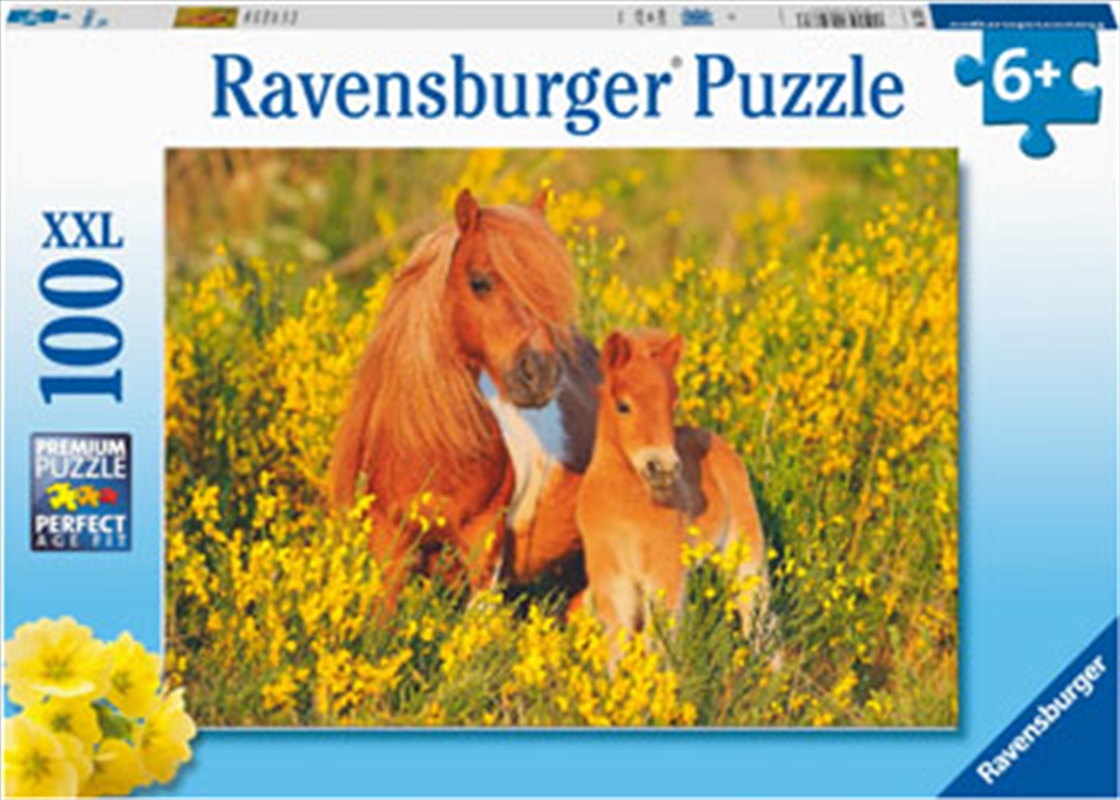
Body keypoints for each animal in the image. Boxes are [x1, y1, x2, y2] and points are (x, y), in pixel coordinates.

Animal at [576, 330, 772, 658]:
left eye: (673, 405)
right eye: (623, 406)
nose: (663, 467)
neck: (627, 508)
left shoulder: (664, 573)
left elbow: (659, 646)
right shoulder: (612, 580)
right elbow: (616, 646)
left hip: (743, 543)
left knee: (757, 609)